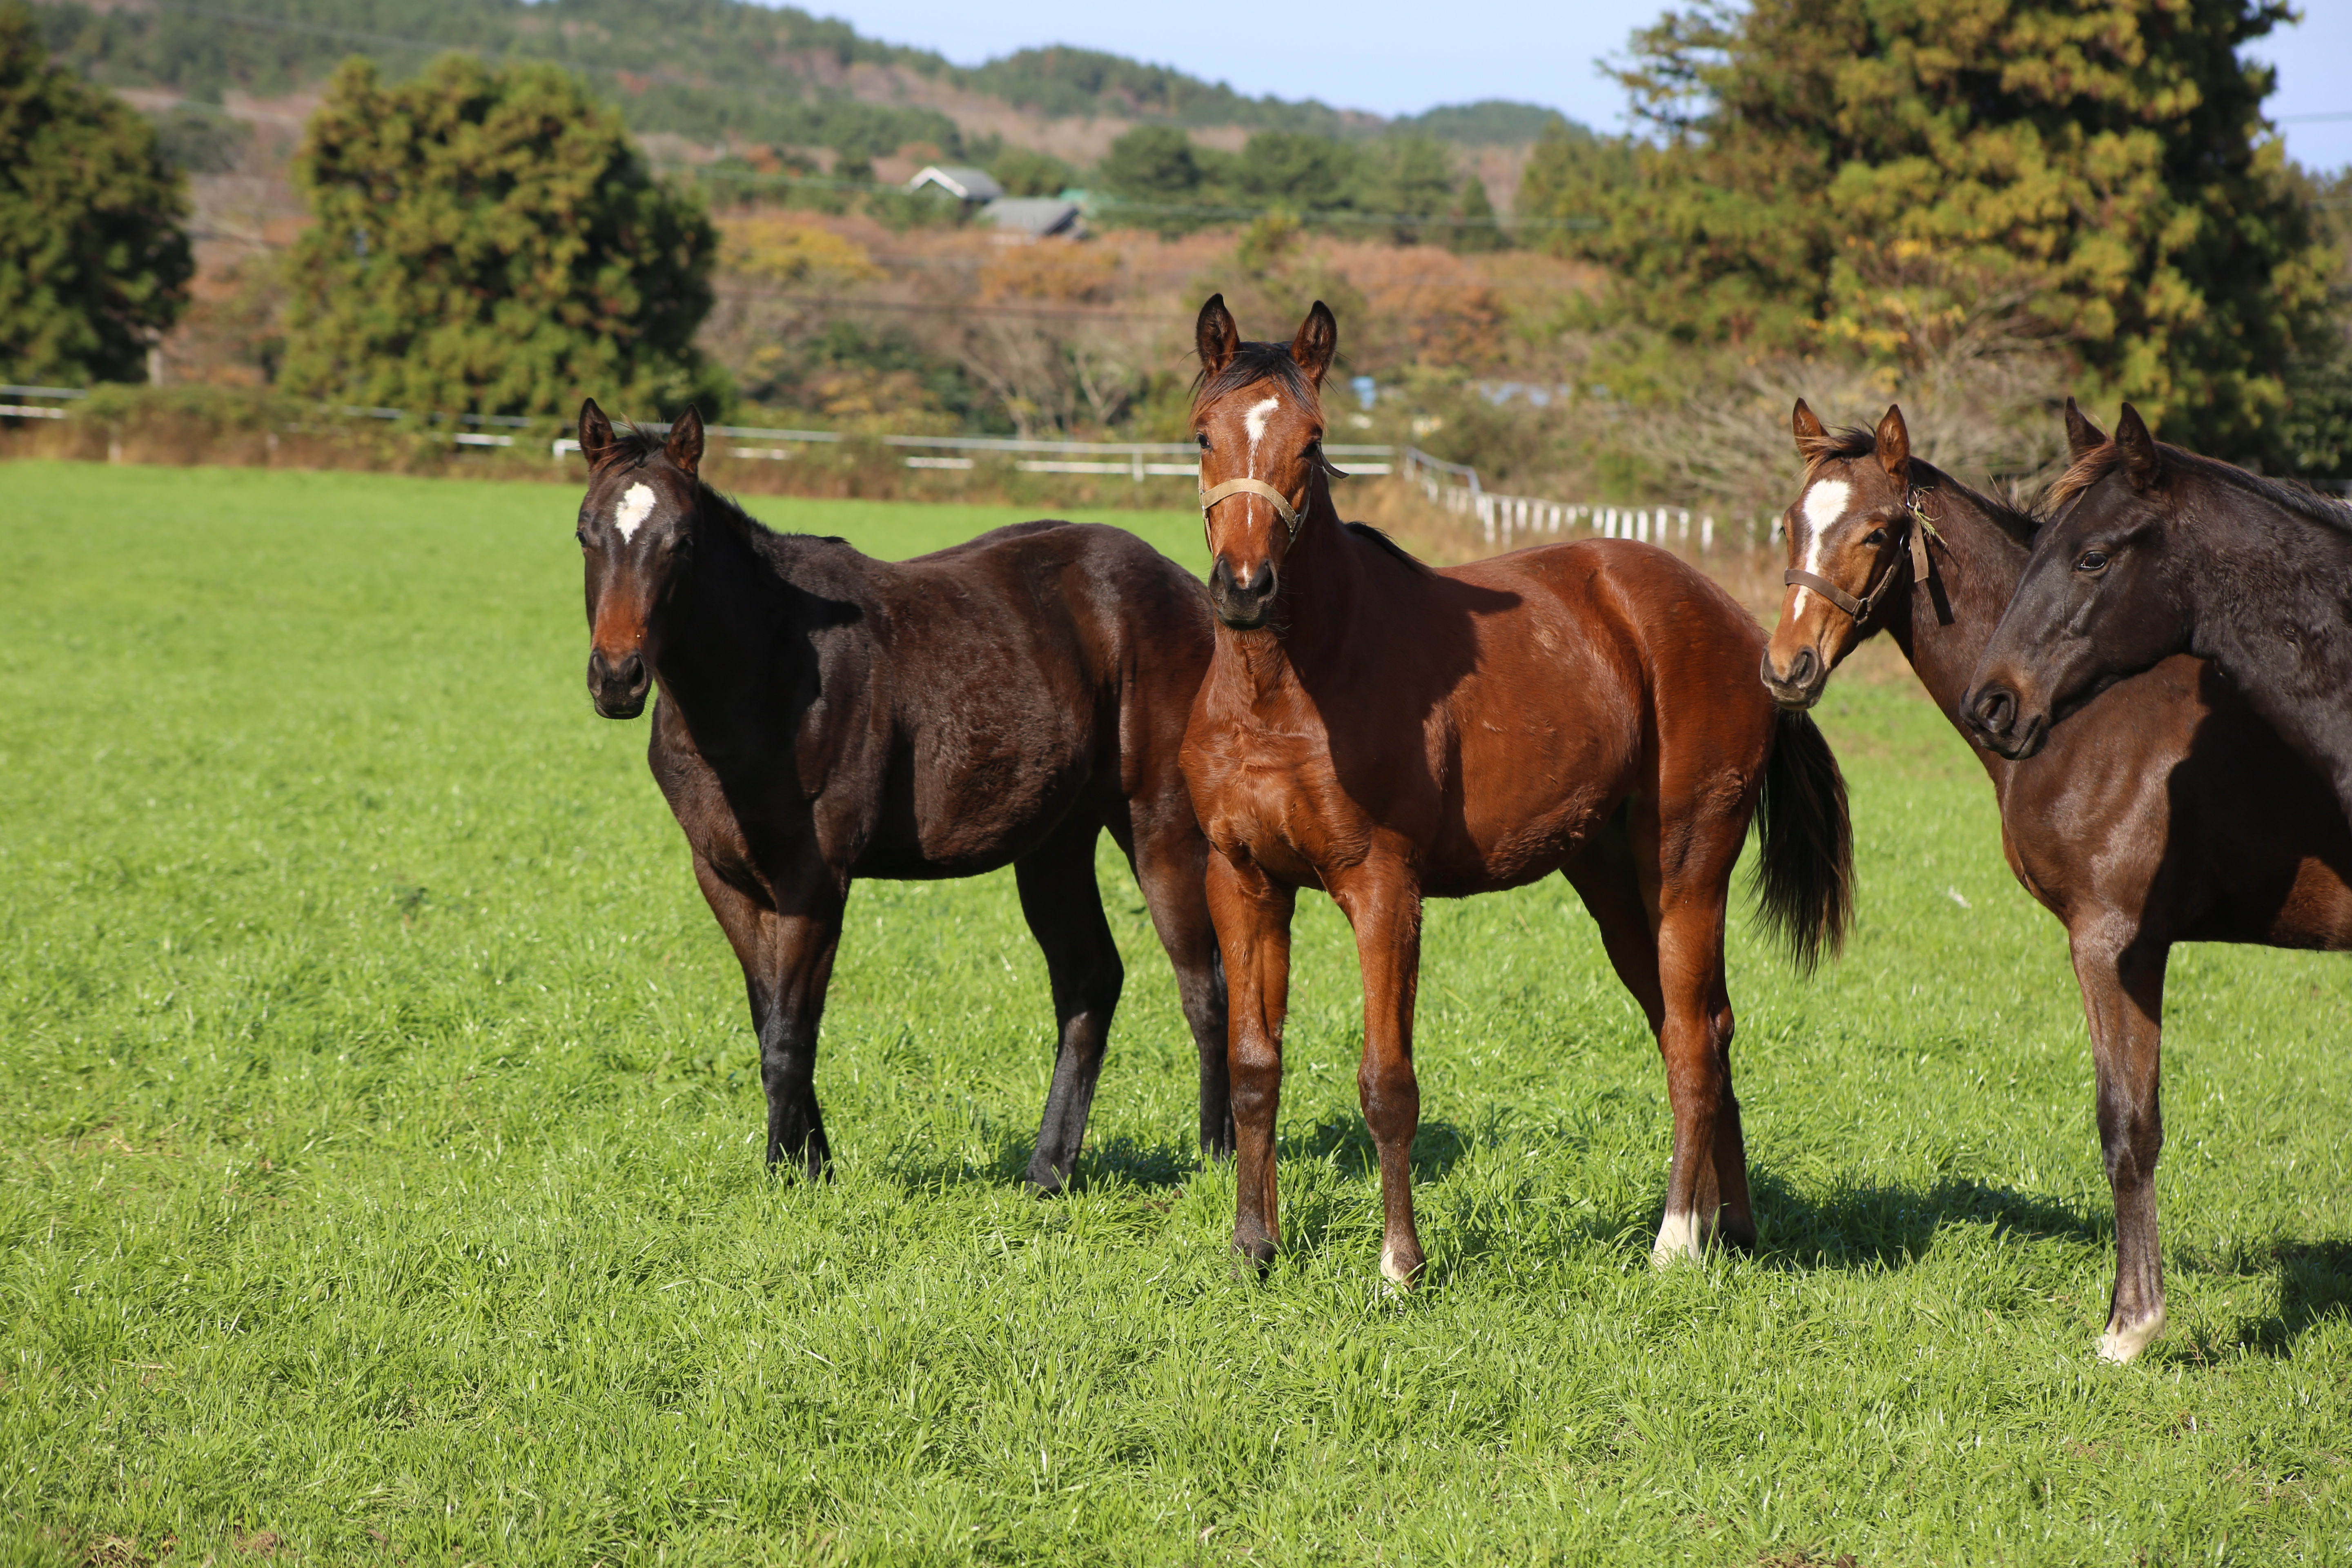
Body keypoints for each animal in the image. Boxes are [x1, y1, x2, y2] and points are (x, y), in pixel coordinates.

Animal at [571, 399, 1232, 1185]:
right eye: (585, 532)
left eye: (682, 541)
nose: (618, 678)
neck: (767, 670)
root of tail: (1187, 587)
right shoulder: (726, 879)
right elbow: (771, 1024)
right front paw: (812, 1167)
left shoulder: (815, 878)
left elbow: (790, 1037)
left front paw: (787, 1177)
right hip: (1054, 843)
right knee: (1089, 980)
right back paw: (1048, 1173)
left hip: (1160, 829)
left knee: (1206, 989)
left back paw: (1220, 1157)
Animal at [1176, 301, 1853, 1297]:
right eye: (1203, 435)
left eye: (1313, 441)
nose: (1246, 588)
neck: (1285, 689)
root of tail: (1748, 633)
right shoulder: (1245, 882)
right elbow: (1255, 1066)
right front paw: (1253, 1250)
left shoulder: (1383, 891)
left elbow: (1388, 1082)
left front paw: (1400, 1267)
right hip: (1616, 888)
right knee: (1702, 1029)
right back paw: (1731, 1227)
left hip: (1688, 869)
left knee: (1694, 1041)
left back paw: (1676, 1242)